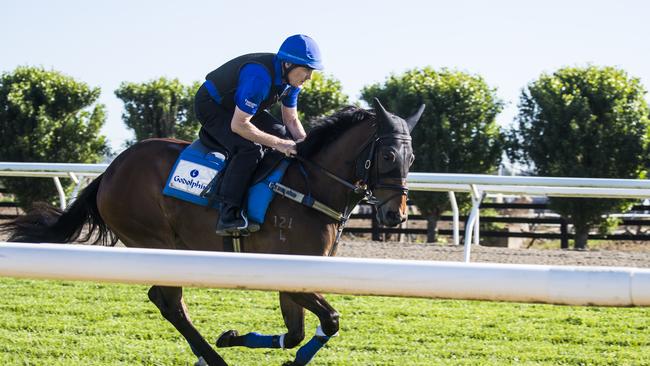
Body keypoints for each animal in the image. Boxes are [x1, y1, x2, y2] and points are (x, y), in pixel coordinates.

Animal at [0, 98, 422, 364]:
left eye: (412, 157)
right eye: (388, 154)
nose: (395, 215)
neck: (310, 186)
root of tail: (111, 170)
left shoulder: (296, 273)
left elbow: (297, 333)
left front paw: (235, 337)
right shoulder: (289, 273)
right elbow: (330, 320)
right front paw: (238, 343)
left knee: (165, 300)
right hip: (156, 242)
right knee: (168, 301)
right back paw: (212, 358)